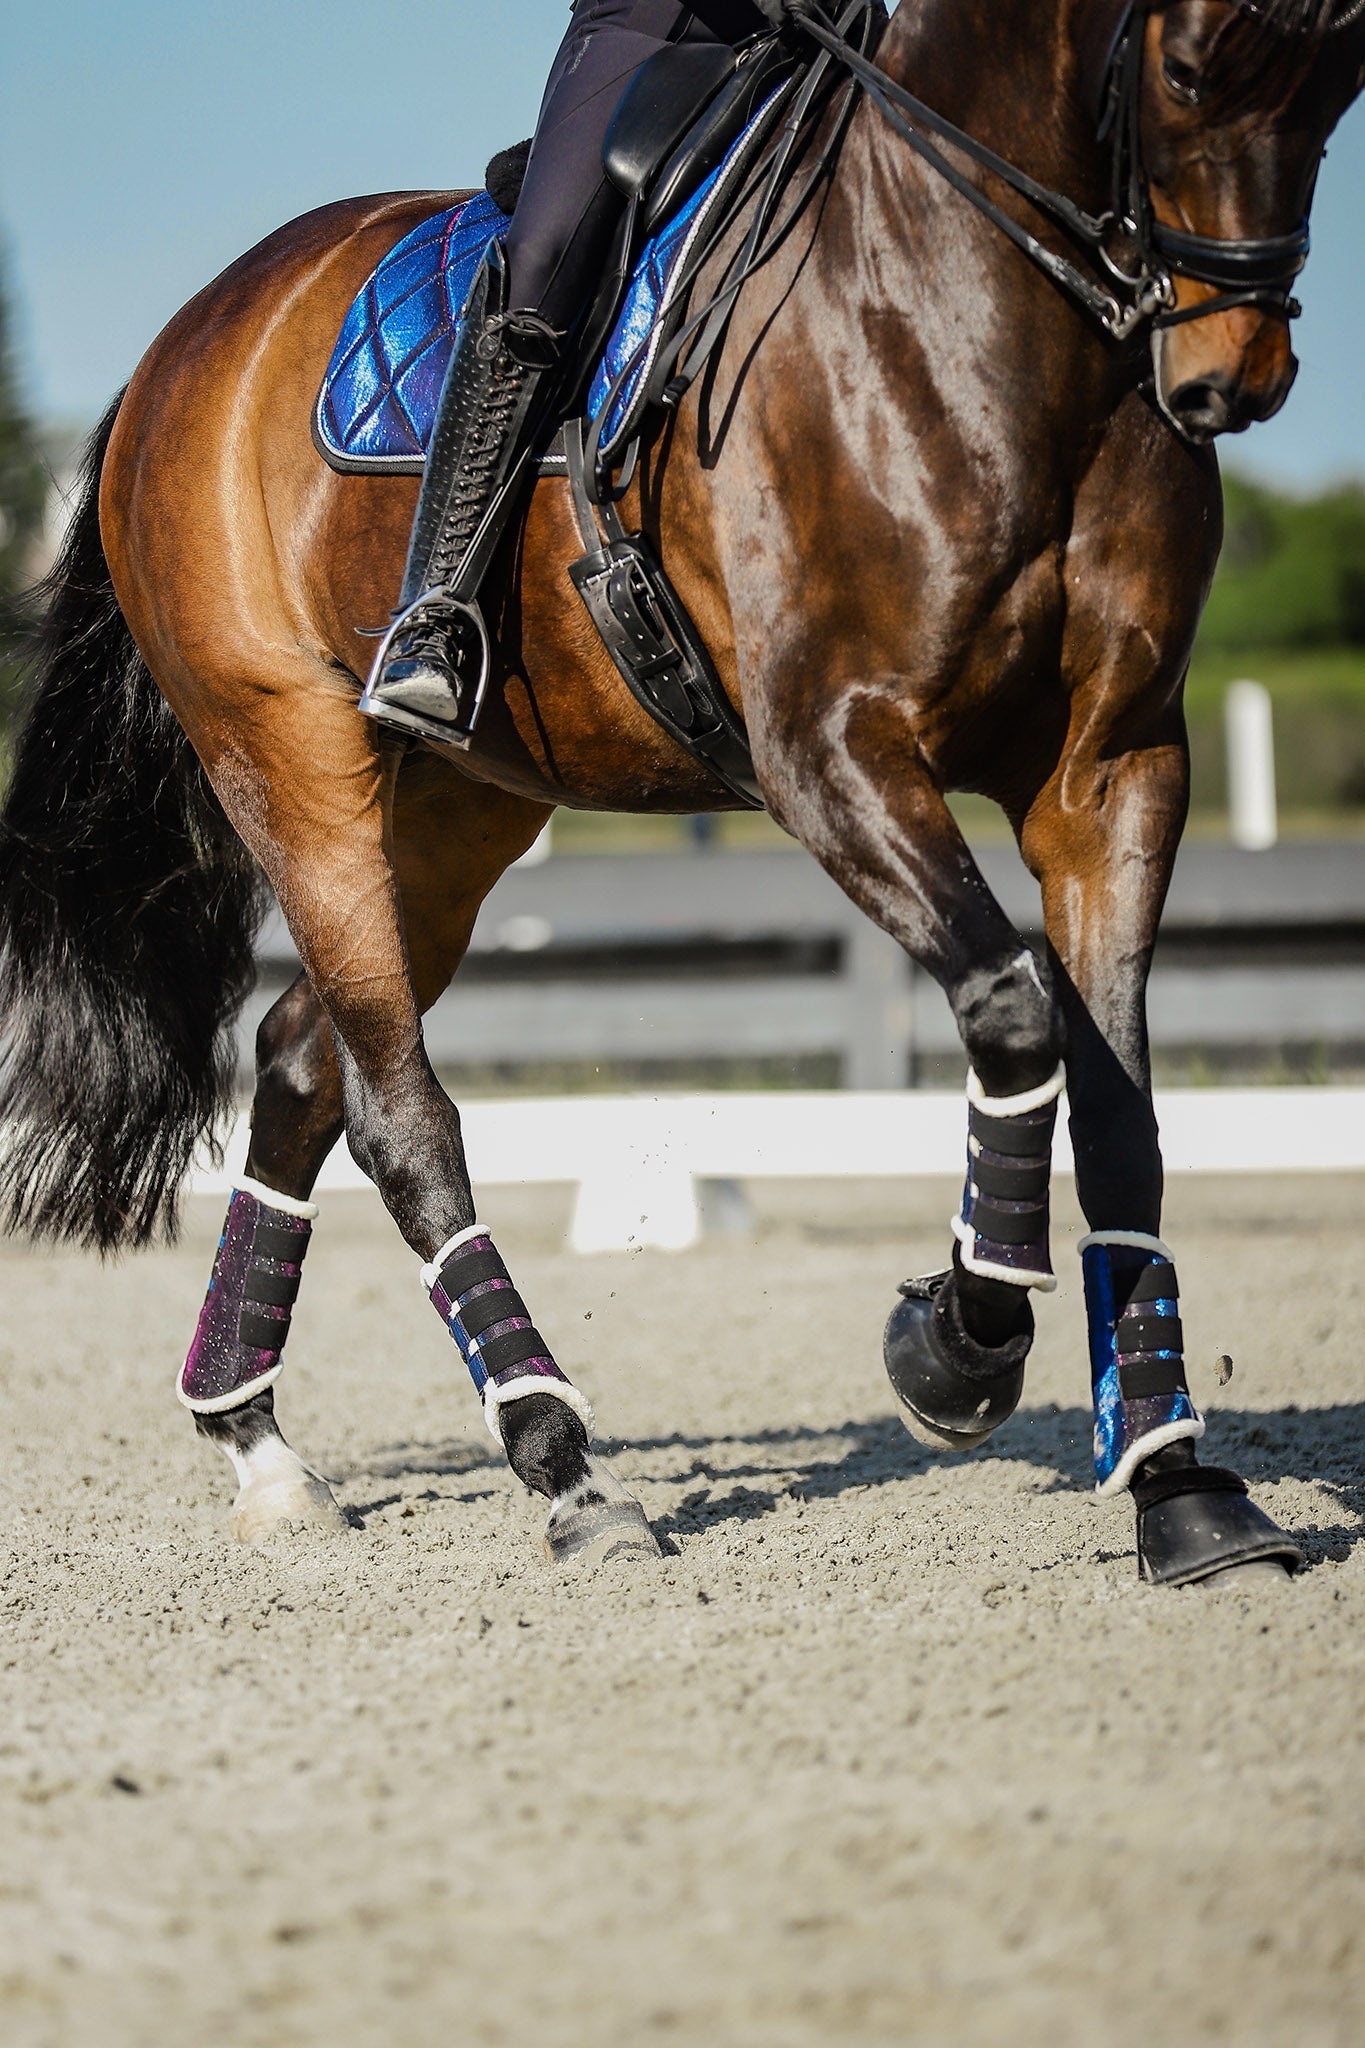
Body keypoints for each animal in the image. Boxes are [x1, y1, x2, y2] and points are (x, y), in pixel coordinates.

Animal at [2, 0, 1365, 1581]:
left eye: (1340, 84)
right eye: (1189, 68)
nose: (1230, 375)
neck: (1003, 330)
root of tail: (190, 338)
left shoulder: (1114, 769)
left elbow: (1124, 1111)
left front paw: (1179, 1487)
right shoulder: (827, 746)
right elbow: (1013, 1014)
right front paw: (955, 1347)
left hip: (461, 808)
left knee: (298, 1060)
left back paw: (261, 1445)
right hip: (288, 756)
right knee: (398, 1113)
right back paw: (565, 1466)